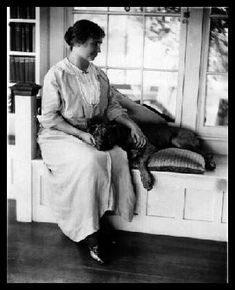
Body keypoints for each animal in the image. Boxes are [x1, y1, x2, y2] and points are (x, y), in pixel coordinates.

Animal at [87, 115, 216, 190]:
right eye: (95, 134)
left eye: (107, 134)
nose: (98, 145)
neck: (123, 135)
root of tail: (194, 134)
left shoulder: (149, 147)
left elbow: (140, 161)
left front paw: (146, 179)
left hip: (178, 141)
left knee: (205, 153)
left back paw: (211, 163)